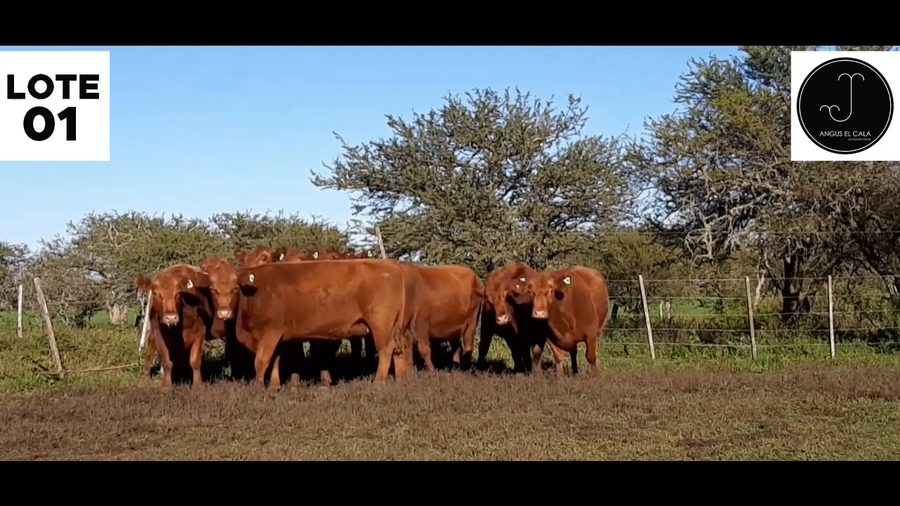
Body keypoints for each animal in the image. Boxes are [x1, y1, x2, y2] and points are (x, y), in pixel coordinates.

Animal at [205, 259, 415, 389]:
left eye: (235, 288)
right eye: (213, 289)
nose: (224, 313)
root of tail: (391, 264)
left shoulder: (270, 332)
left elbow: (262, 361)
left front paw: (258, 387)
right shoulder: (278, 336)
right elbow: (275, 360)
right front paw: (275, 386)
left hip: (381, 324)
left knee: (386, 349)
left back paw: (378, 382)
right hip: (393, 327)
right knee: (398, 350)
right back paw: (401, 380)